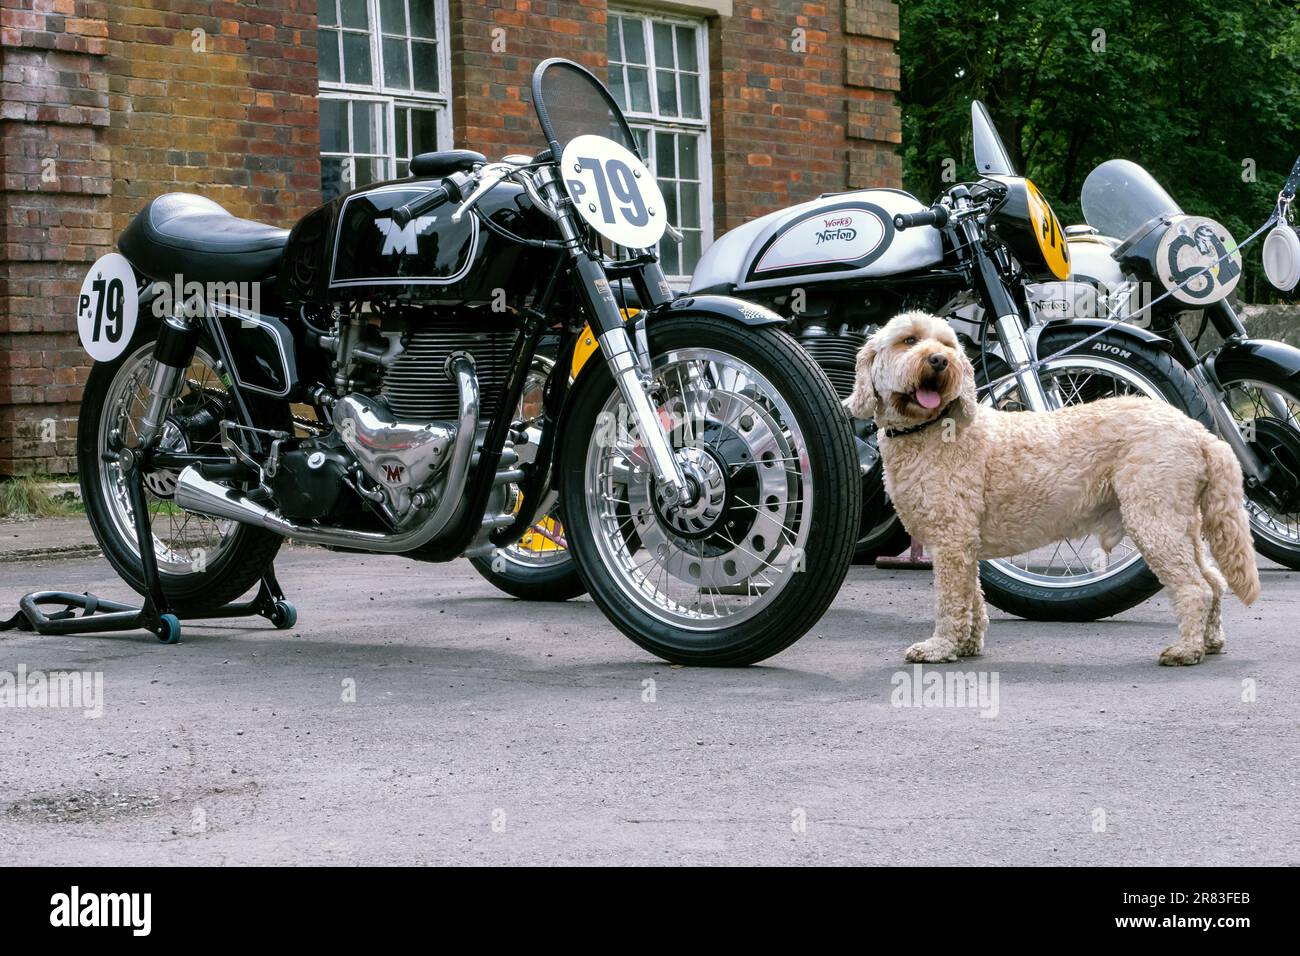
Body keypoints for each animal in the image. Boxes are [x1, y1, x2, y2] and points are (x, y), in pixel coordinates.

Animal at [842, 312, 1258, 665]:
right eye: (909, 340)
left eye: (946, 343)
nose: (940, 361)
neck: (933, 427)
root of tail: (1199, 433)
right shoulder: (965, 546)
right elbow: (971, 598)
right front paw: (967, 645)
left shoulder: (950, 541)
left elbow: (950, 602)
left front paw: (940, 647)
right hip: (1181, 524)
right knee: (1213, 581)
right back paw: (1210, 641)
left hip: (1154, 522)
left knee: (1195, 587)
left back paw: (1186, 650)